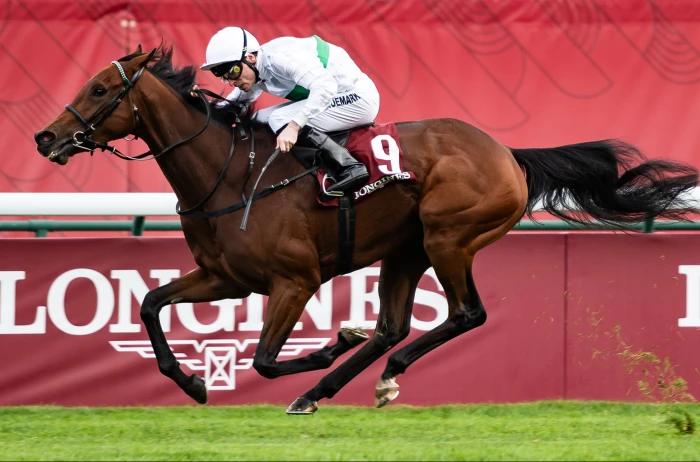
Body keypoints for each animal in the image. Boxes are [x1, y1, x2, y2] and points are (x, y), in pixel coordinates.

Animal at [34, 48, 700, 414]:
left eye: (99, 89)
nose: (45, 137)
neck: (227, 174)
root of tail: (507, 153)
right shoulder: (226, 277)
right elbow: (149, 303)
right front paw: (193, 383)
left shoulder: (295, 280)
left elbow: (266, 360)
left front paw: (332, 340)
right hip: (405, 251)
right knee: (393, 326)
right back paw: (333, 386)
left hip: (447, 237)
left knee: (464, 314)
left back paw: (367, 374)